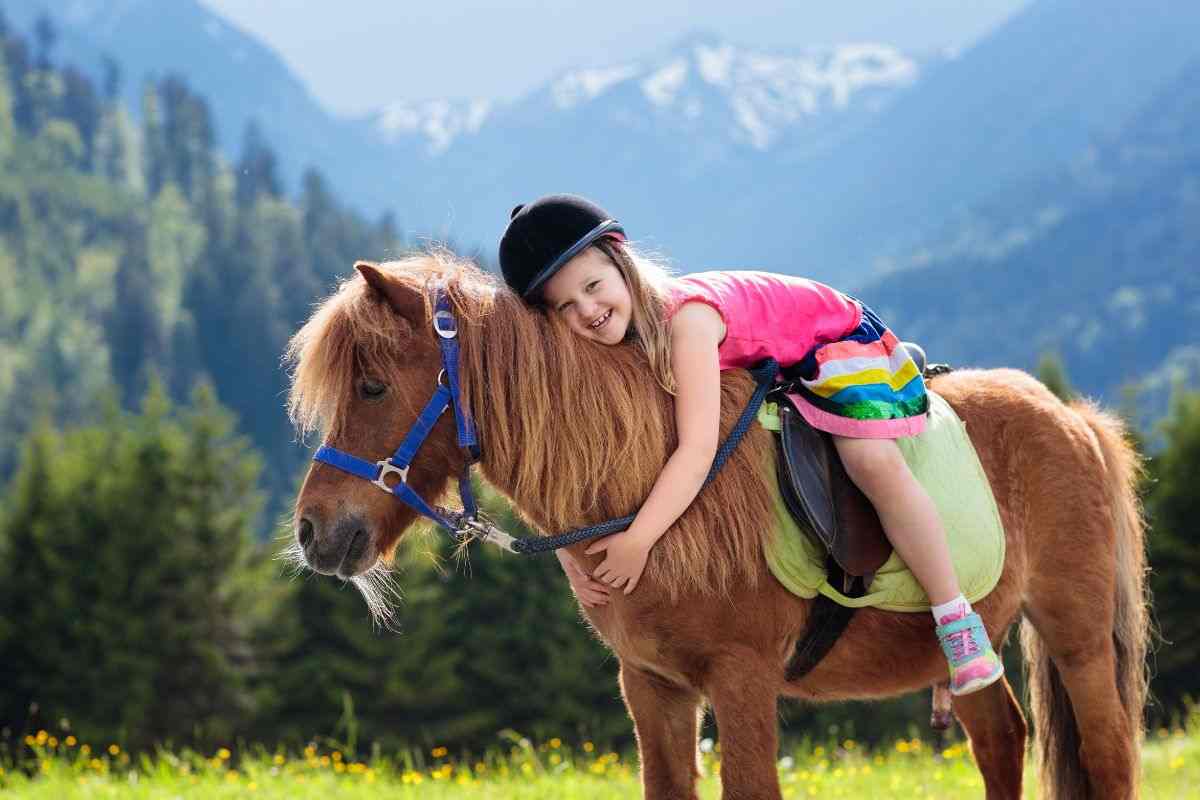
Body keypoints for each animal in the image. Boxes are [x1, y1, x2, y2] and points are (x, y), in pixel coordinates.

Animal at [284, 251, 1149, 799]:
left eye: (370, 385)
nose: (315, 533)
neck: (656, 499)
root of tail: (1070, 417)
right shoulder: (654, 687)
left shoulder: (742, 679)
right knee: (1001, 741)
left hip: (1073, 632)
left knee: (1107, 754)